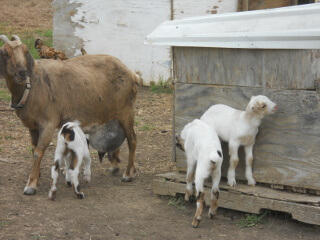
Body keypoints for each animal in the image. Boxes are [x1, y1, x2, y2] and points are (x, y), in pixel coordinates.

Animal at [0, 35, 140, 195]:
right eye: (5, 53)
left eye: (26, 51)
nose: (22, 72)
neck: (32, 87)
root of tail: (131, 74)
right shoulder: (32, 127)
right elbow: (33, 149)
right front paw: (37, 176)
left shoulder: (48, 123)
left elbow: (38, 152)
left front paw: (31, 185)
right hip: (113, 113)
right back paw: (114, 166)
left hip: (126, 110)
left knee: (132, 140)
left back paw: (128, 174)